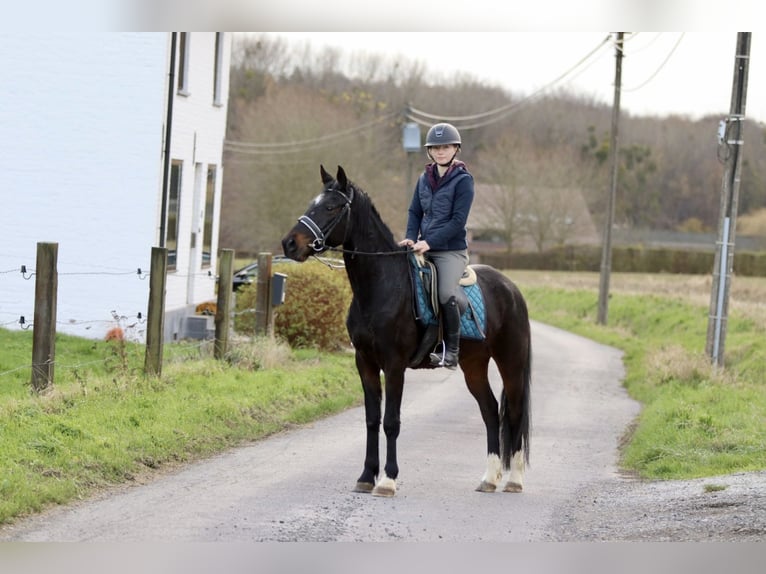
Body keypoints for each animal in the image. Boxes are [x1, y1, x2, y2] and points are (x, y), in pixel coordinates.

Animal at [281, 165, 531, 497]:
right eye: (313, 203)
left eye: (332, 207)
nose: (289, 244)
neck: (380, 286)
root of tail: (511, 289)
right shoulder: (365, 362)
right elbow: (372, 419)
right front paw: (366, 476)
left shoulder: (394, 364)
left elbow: (391, 421)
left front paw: (387, 480)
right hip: (474, 364)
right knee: (490, 410)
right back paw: (489, 479)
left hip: (511, 363)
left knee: (514, 412)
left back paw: (514, 480)